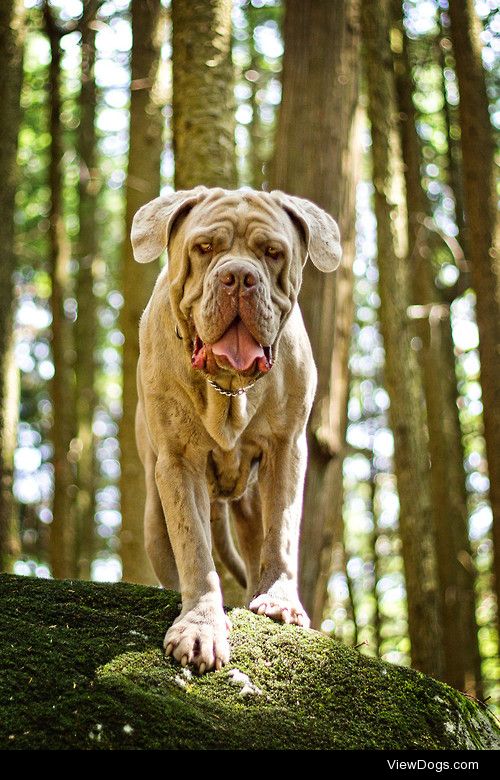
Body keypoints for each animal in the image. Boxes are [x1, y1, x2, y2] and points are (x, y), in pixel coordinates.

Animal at [130, 187, 340, 672]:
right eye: (205, 248)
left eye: (273, 252)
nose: (239, 276)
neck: (228, 388)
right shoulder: (178, 463)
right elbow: (194, 549)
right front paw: (200, 627)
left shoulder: (287, 450)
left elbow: (281, 533)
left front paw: (279, 601)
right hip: (153, 510)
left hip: (248, 502)